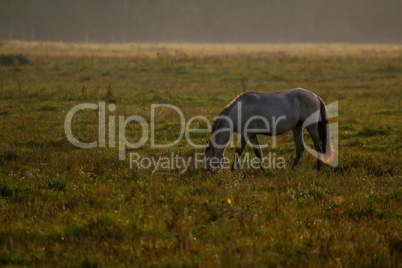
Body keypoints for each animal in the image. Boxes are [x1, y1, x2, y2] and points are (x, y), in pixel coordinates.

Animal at [204, 88, 332, 172]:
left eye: (209, 155)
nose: (207, 171)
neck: (240, 110)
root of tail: (315, 96)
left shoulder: (246, 135)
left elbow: (238, 151)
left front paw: (232, 169)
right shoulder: (252, 135)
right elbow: (258, 152)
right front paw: (263, 169)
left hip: (311, 127)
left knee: (318, 146)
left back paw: (319, 168)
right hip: (297, 127)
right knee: (300, 148)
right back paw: (292, 168)